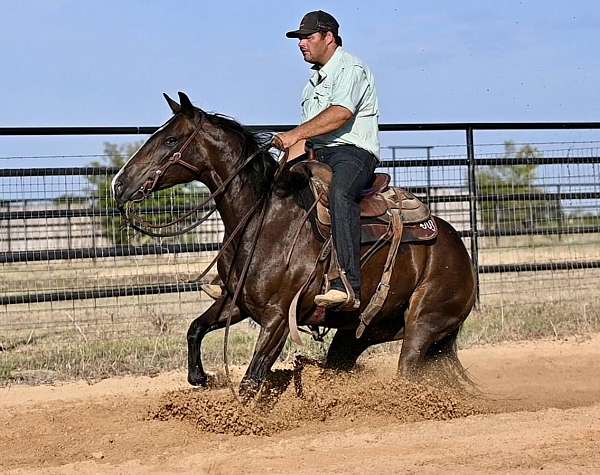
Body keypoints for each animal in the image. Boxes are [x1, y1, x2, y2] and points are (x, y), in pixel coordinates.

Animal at [112, 93, 476, 398]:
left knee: (408, 372)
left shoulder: (277, 318)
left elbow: (251, 381)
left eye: (171, 139)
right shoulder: (238, 302)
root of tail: (459, 250)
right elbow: (195, 329)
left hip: (423, 324)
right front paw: (201, 378)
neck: (261, 218)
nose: (119, 184)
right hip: (361, 333)